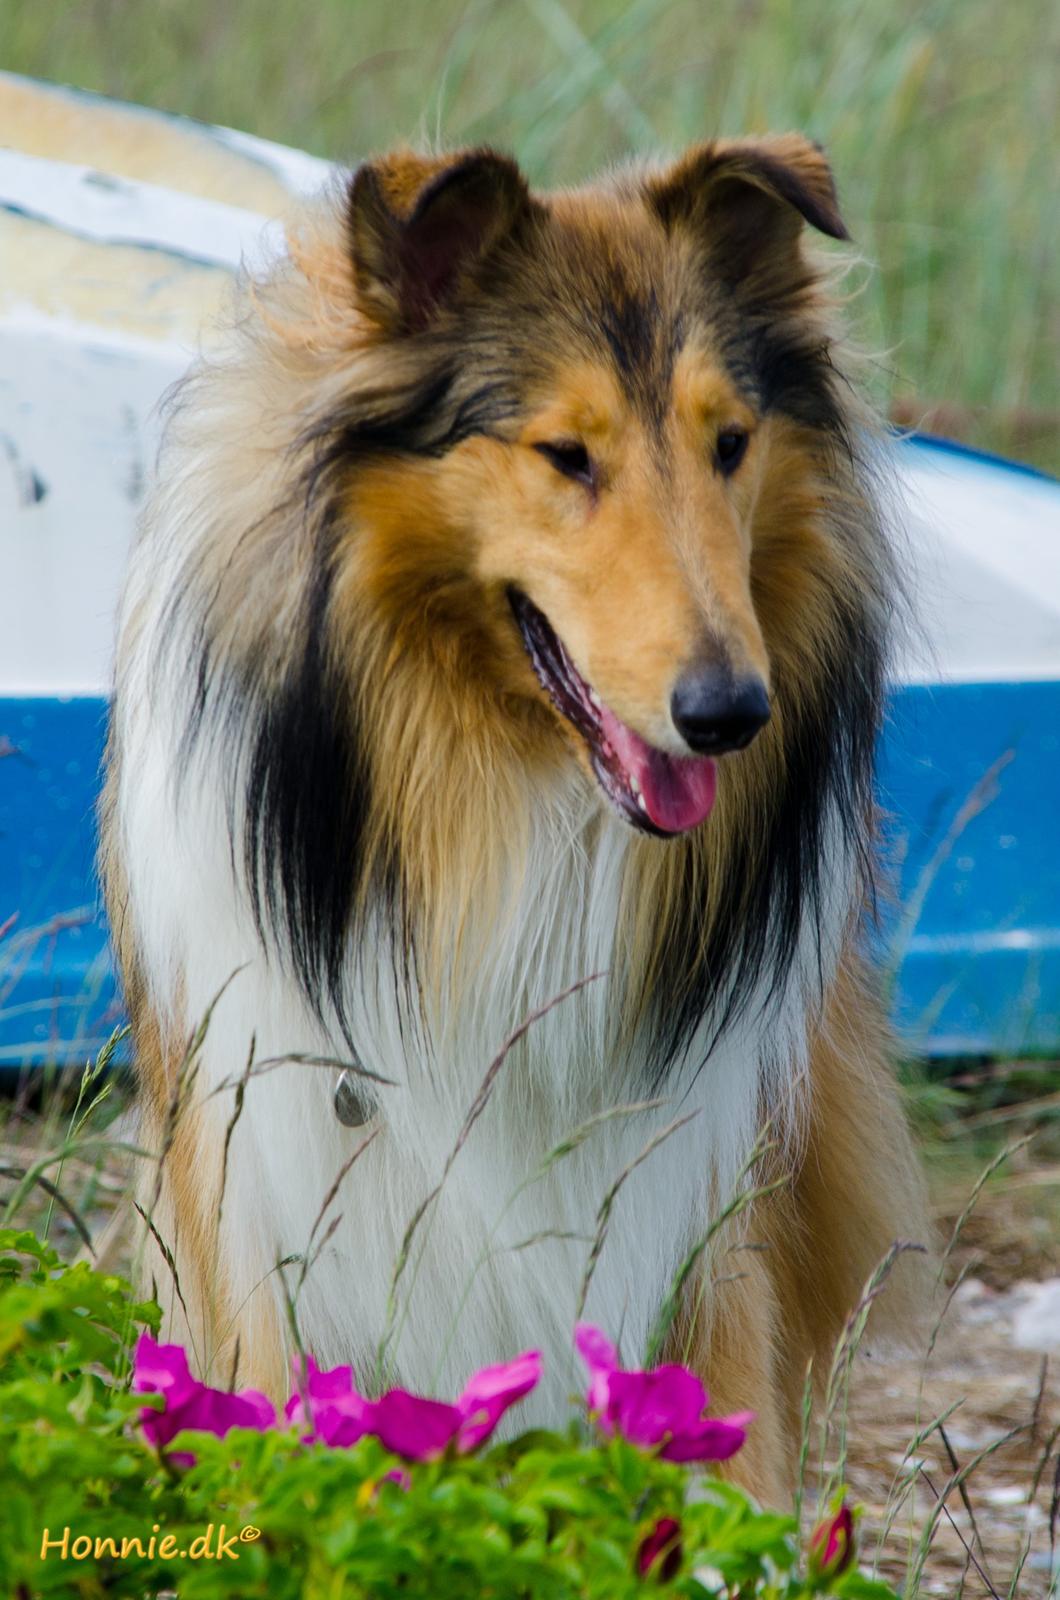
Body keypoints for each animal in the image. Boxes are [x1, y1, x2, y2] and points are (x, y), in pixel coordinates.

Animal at [99, 134, 928, 1497]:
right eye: (563, 454)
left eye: (729, 441)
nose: (729, 713)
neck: (506, 801)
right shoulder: (263, 1194)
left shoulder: (698, 1216)